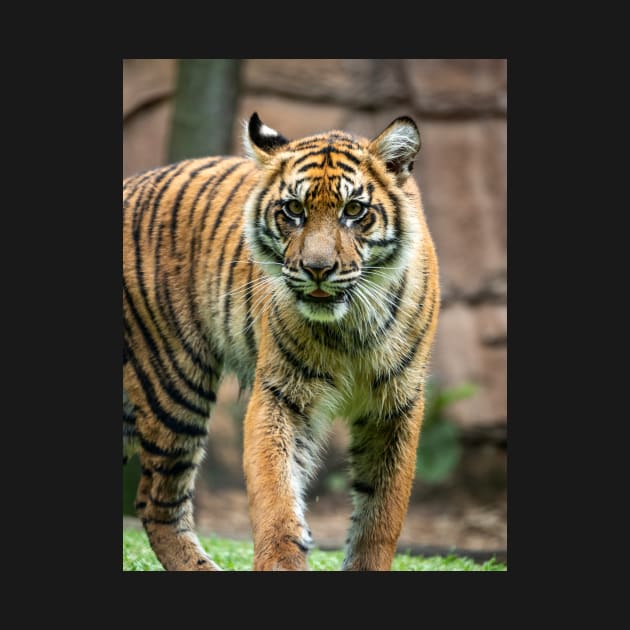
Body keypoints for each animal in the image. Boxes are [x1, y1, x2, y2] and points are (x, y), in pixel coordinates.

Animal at [122, 113, 440, 572]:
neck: (350, 327)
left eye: (354, 210)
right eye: (294, 209)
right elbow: (275, 493)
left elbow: (382, 514)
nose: (318, 269)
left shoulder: (396, 405)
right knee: (156, 502)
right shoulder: (280, 394)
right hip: (174, 383)